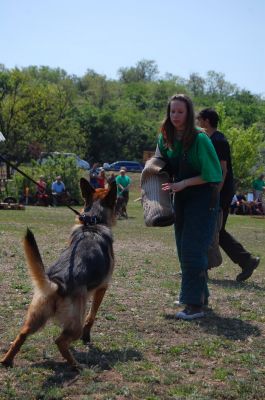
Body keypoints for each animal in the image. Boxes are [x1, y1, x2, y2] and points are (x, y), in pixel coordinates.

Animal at [0, 178, 115, 368]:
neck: (93, 223)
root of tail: (57, 284)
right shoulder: (102, 288)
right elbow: (92, 316)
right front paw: (87, 337)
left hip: (36, 316)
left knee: (22, 334)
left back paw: (7, 359)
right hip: (75, 322)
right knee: (60, 341)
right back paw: (75, 365)